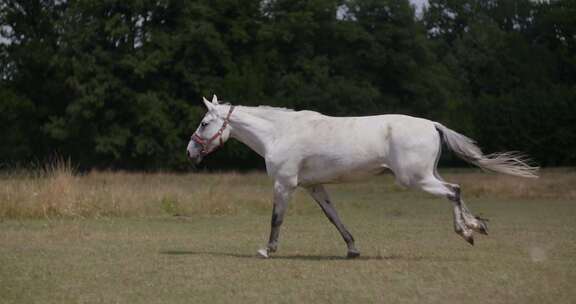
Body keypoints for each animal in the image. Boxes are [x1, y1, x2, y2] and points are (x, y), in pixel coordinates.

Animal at [187, 95, 536, 258]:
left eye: (204, 123)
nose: (190, 152)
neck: (279, 133)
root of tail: (433, 124)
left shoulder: (284, 185)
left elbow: (276, 219)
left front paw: (267, 250)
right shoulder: (315, 187)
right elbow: (334, 218)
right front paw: (352, 248)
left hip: (416, 180)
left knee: (454, 191)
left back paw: (466, 231)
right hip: (426, 175)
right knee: (456, 190)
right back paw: (477, 226)